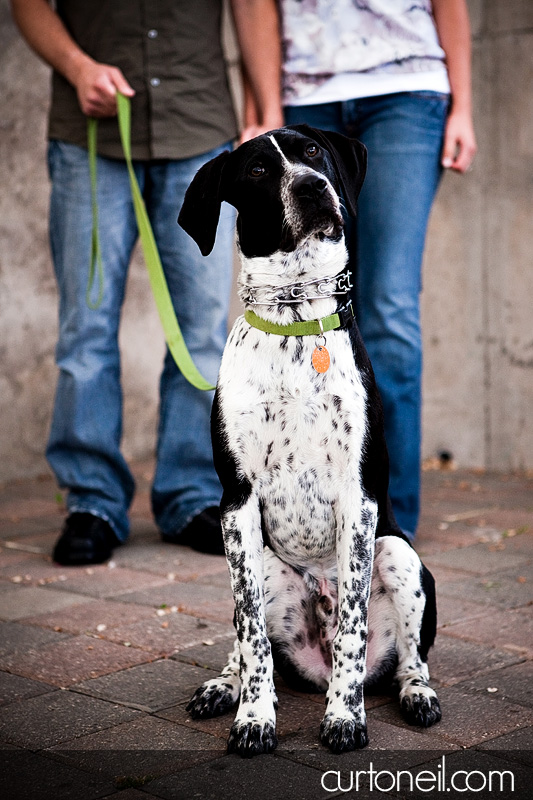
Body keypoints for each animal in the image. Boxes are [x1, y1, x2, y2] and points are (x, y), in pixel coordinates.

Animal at [177, 123, 438, 756]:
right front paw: (253, 718)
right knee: (247, 642)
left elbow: (351, 628)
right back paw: (224, 686)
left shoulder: (360, 501)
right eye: (256, 171)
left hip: (400, 555)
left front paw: (345, 717)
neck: (295, 317)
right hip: (267, 564)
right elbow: (250, 634)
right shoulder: (236, 504)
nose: (313, 186)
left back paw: (415, 693)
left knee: (410, 658)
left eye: (313, 152)